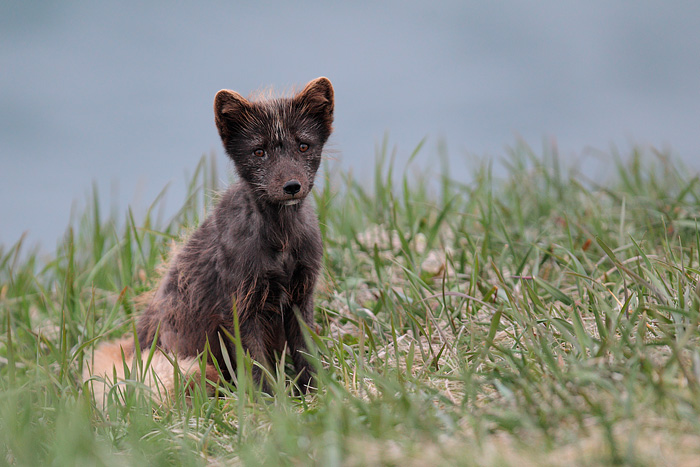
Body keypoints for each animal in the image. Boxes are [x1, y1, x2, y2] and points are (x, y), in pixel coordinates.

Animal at [83, 77, 334, 405]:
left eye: (304, 146)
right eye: (259, 152)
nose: (292, 186)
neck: (281, 242)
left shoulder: (301, 295)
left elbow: (307, 353)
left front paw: (315, 395)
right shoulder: (241, 307)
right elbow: (256, 364)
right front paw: (270, 405)